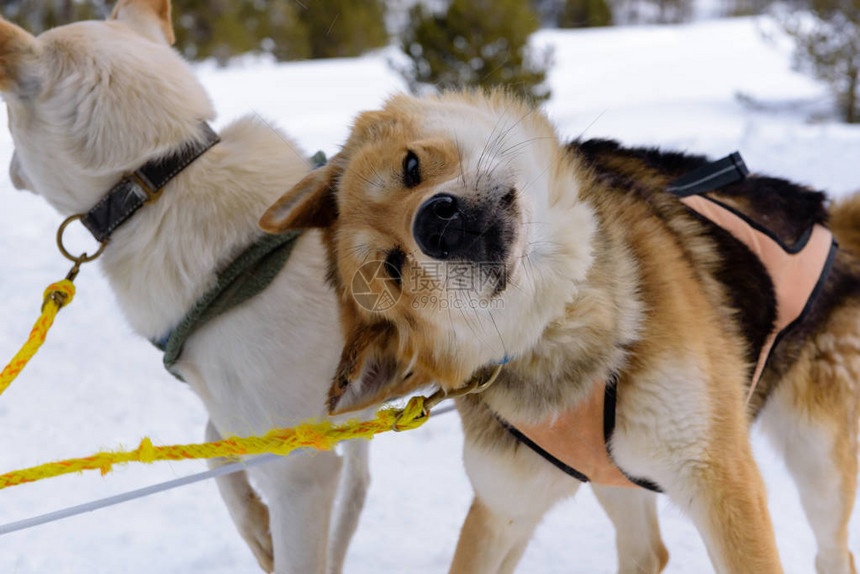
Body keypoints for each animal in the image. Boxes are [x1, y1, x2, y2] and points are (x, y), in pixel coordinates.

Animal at [260, 92, 860, 572]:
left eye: (410, 167)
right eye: (393, 268)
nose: (435, 221)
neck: (564, 319)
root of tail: (832, 218)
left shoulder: (719, 480)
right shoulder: (504, 507)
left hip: (816, 464)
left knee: (833, 551)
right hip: (618, 478)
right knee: (647, 551)